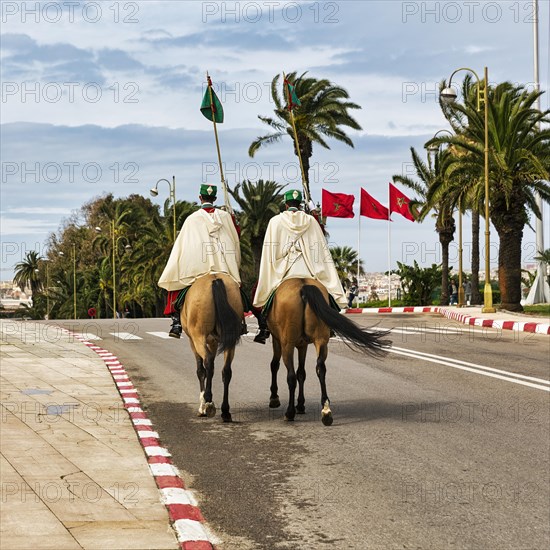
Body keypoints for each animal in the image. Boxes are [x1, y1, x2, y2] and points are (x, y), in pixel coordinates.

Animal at [181, 272, 244, 422]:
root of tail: (215, 279)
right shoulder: (213, 342)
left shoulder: (193, 342)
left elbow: (201, 370)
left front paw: (202, 406)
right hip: (230, 341)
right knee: (226, 371)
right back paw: (225, 411)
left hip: (198, 337)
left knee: (208, 362)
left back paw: (208, 402)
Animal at [268, 280, 392, 426]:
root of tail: (303, 286)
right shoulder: (302, 345)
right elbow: (302, 373)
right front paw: (301, 404)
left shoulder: (279, 340)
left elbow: (276, 366)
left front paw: (275, 398)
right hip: (320, 340)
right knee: (320, 368)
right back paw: (326, 411)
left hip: (288, 344)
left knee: (291, 376)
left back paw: (290, 412)